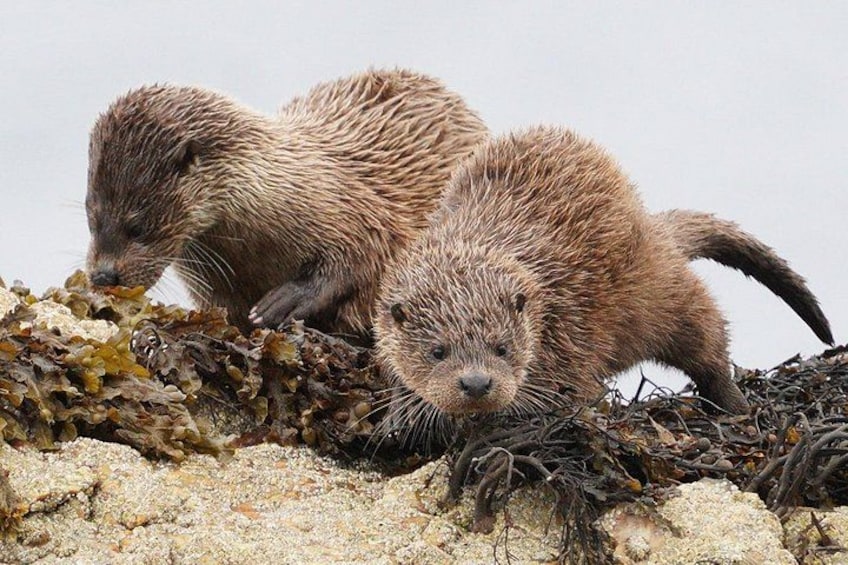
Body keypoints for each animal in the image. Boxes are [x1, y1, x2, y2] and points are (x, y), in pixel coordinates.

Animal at [85, 69, 487, 335]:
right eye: (92, 218)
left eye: (137, 226)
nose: (103, 275)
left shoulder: (352, 210)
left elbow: (362, 257)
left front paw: (284, 302)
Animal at [375, 126, 833, 433]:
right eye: (437, 351)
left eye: (502, 347)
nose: (475, 382)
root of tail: (653, 227)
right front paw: (401, 416)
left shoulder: (570, 327)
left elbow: (573, 390)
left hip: (660, 290)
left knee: (707, 337)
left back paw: (734, 405)